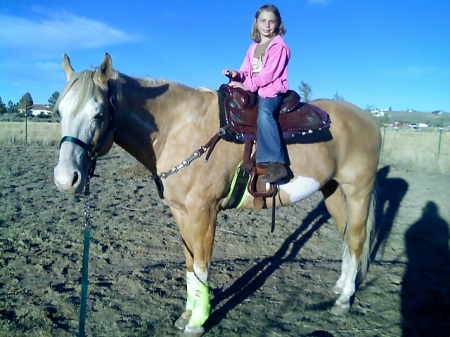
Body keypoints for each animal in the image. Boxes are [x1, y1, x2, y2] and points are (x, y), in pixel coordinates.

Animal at [54, 53, 382, 334]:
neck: (178, 129)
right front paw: (187, 314)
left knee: (356, 239)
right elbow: (189, 265)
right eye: (59, 111)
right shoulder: (181, 212)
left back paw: (343, 300)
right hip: (333, 191)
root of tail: (369, 120)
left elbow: (202, 266)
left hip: (358, 190)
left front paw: (197, 322)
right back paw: (340, 287)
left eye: (98, 114)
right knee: (346, 238)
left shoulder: (204, 212)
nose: (66, 179)